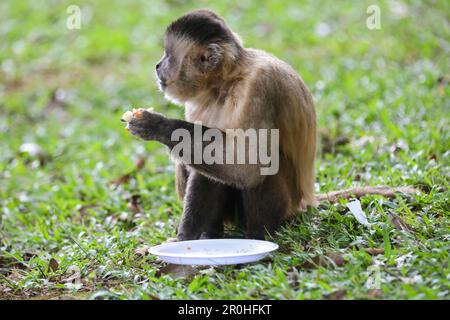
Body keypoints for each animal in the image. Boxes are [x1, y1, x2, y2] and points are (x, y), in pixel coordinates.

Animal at [126, 8, 414, 240]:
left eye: (168, 56)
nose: (158, 65)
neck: (225, 83)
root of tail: (305, 203)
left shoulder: (259, 86)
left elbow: (249, 166)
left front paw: (158, 126)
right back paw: (209, 234)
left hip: (287, 207)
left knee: (258, 161)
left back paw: (258, 235)